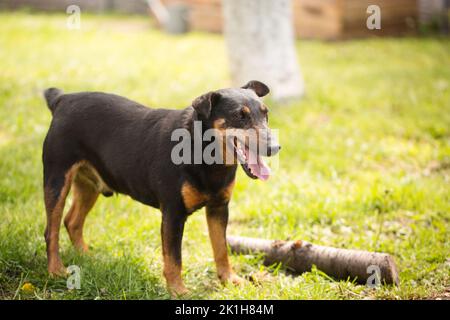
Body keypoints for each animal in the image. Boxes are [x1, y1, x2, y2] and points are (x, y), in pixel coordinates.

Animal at [43, 81, 282, 296]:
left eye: (265, 114)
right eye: (240, 116)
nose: (275, 147)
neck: (204, 153)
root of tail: (62, 99)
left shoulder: (219, 208)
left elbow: (221, 248)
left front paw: (230, 280)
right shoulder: (173, 213)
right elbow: (174, 258)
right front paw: (178, 291)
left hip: (89, 184)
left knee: (72, 221)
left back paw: (86, 257)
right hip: (57, 179)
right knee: (51, 230)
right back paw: (56, 271)